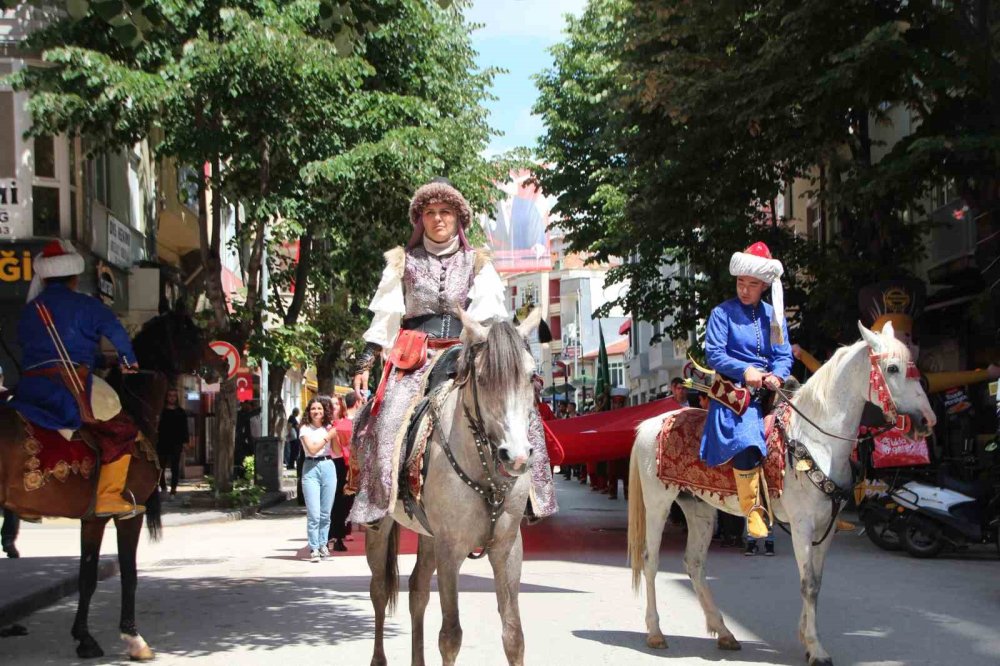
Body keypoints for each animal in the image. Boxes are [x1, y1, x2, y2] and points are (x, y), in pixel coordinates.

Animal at [0, 308, 221, 660]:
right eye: (193, 335)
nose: (222, 363)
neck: (135, 410)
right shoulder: (131, 513)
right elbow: (129, 573)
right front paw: (134, 639)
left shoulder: (92, 519)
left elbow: (87, 576)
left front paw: (84, 638)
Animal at [366, 308, 544, 664]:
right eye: (484, 377)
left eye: (532, 377)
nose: (517, 456)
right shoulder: (451, 549)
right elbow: (450, 636)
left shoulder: (507, 548)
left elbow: (514, 635)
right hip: (379, 529)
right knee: (378, 591)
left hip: (428, 537)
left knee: (417, 590)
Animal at [628, 320, 932, 660]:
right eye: (892, 368)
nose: (926, 420)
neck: (817, 440)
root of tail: (650, 424)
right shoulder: (802, 525)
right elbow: (807, 583)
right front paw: (815, 647)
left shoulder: (826, 528)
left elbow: (816, 583)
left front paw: (806, 638)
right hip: (658, 505)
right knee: (650, 561)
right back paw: (655, 632)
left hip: (699, 508)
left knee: (694, 564)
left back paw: (724, 632)